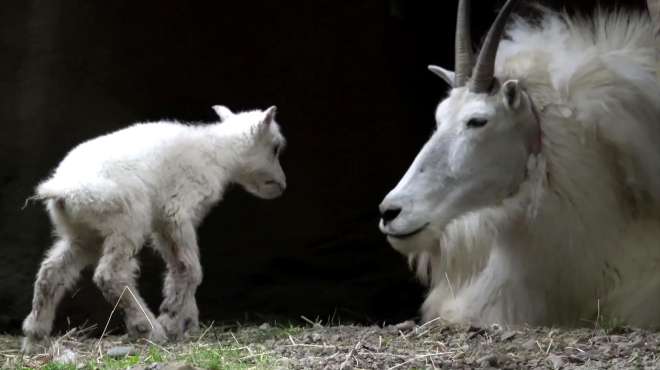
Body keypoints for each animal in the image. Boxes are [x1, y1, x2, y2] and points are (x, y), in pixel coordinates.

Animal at [22, 105, 286, 352]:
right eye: (275, 148)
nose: (282, 186)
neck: (218, 152)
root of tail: (62, 189)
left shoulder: (163, 225)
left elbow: (179, 268)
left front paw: (184, 319)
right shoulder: (177, 211)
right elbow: (191, 269)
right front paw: (172, 317)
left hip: (83, 234)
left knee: (51, 272)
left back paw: (35, 335)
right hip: (126, 222)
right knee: (110, 275)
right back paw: (147, 327)